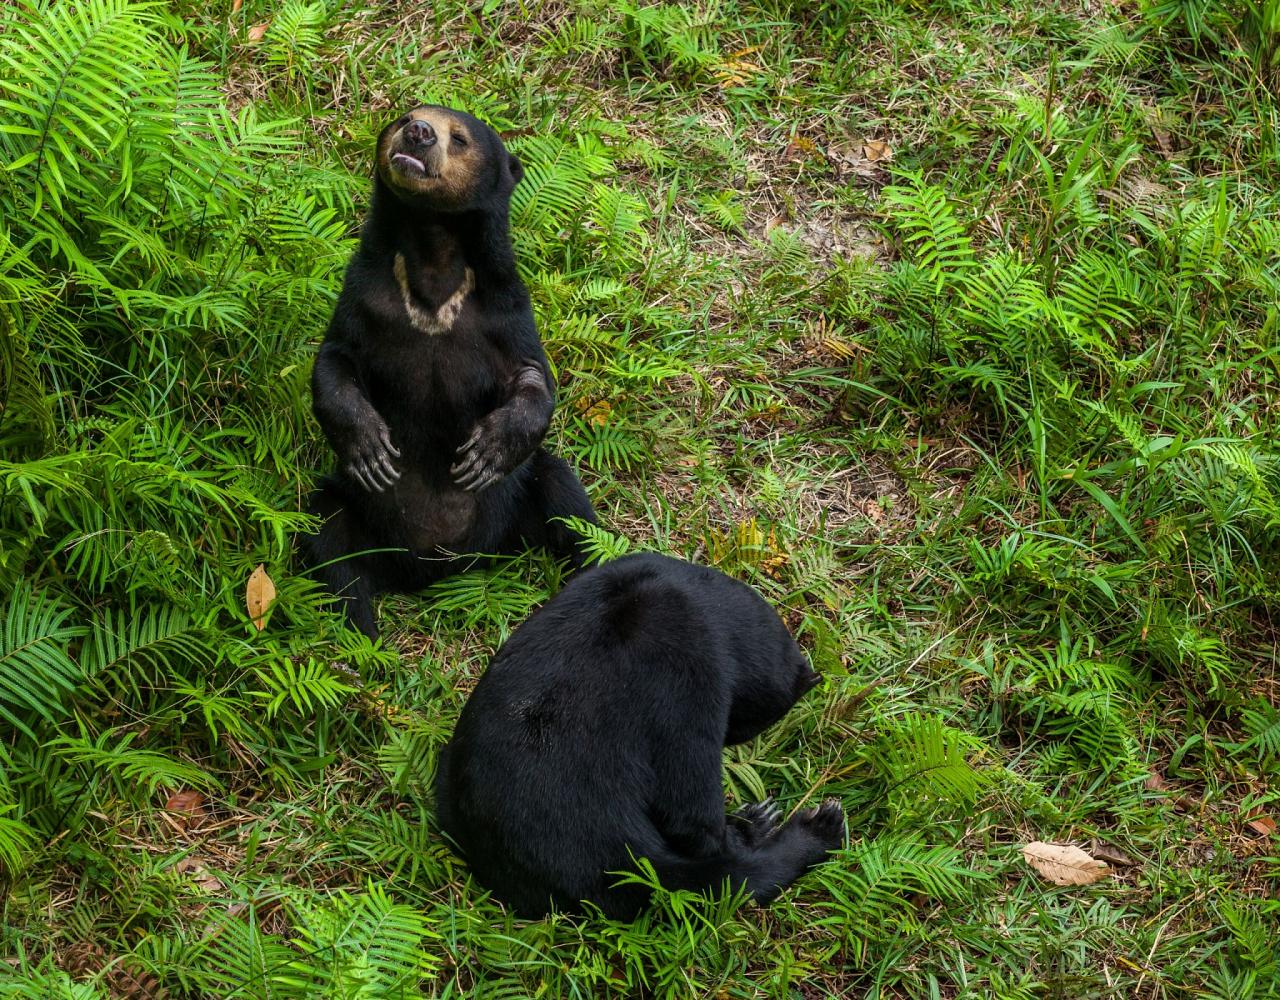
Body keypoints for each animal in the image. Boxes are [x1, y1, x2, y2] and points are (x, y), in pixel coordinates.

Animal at [304, 107, 593, 640]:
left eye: (458, 138)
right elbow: (336, 360)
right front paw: (371, 449)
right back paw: (361, 636)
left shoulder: (505, 310)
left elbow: (533, 378)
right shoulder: (365, 296)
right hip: (355, 512)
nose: (418, 133)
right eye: (407, 115)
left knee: (568, 501)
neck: (433, 251)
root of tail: (440, 569)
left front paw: (484, 453)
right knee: (328, 540)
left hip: (516, 504)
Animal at [435, 550, 844, 916]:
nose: (731, 736)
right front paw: (739, 827)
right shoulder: (686, 667)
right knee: (718, 877)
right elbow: (686, 798)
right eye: (736, 726)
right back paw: (808, 825)